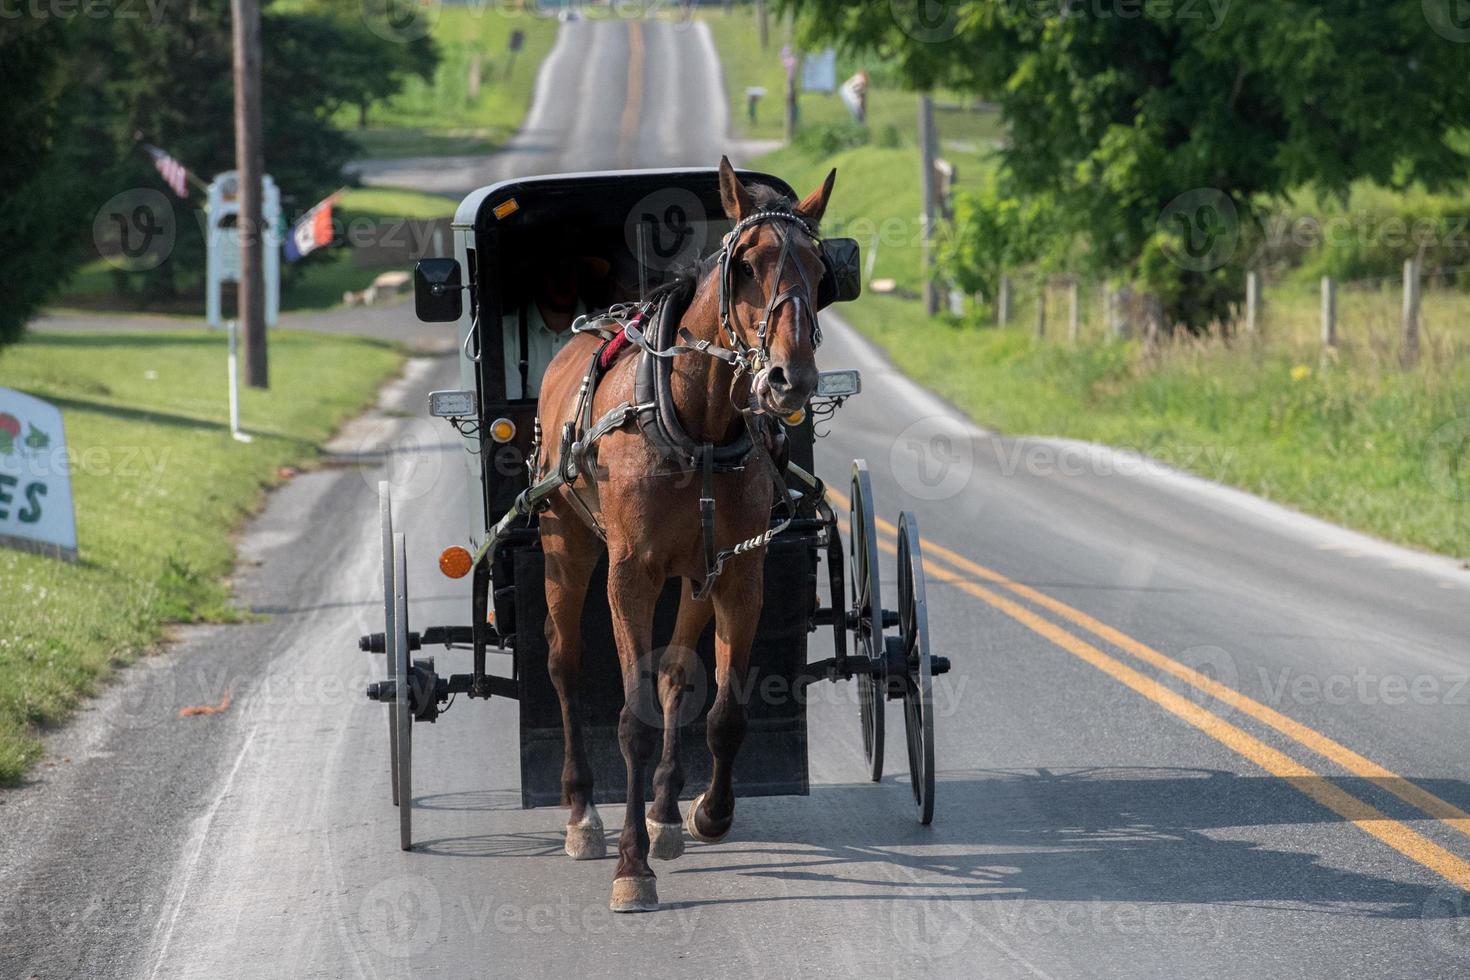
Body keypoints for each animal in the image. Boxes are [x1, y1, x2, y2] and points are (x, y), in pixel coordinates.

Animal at [532, 155, 834, 910]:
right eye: (747, 265)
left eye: (821, 270)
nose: (790, 378)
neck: (697, 424)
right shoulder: (629, 574)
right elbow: (632, 719)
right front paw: (631, 865)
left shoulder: (738, 571)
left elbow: (721, 712)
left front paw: (705, 812)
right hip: (565, 543)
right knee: (563, 661)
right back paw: (582, 812)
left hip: (695, 573)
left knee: (673, 675)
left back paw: (665, 811)